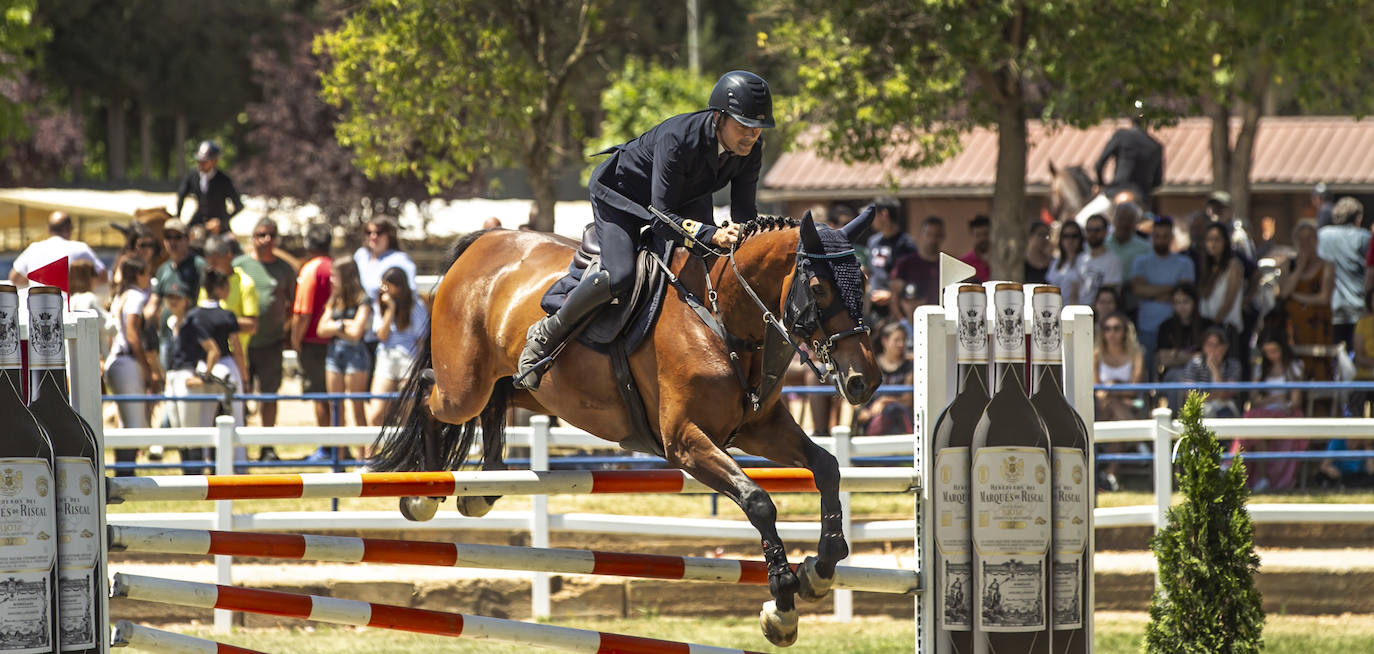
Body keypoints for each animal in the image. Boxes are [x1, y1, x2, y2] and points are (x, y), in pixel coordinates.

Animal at [368, 211, 879, 645]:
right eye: (819, 287)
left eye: (866, 283)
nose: (865, 381)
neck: (721, 317)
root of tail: (484, 242)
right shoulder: (685, 443)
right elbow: (757, 500)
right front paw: (782, 606)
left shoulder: (760, 428)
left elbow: (827, 467)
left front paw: (820, 569)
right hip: (464, 386)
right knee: (433, 395)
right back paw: (422, 493)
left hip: (527, 385)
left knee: (500, 397)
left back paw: (484, 485)